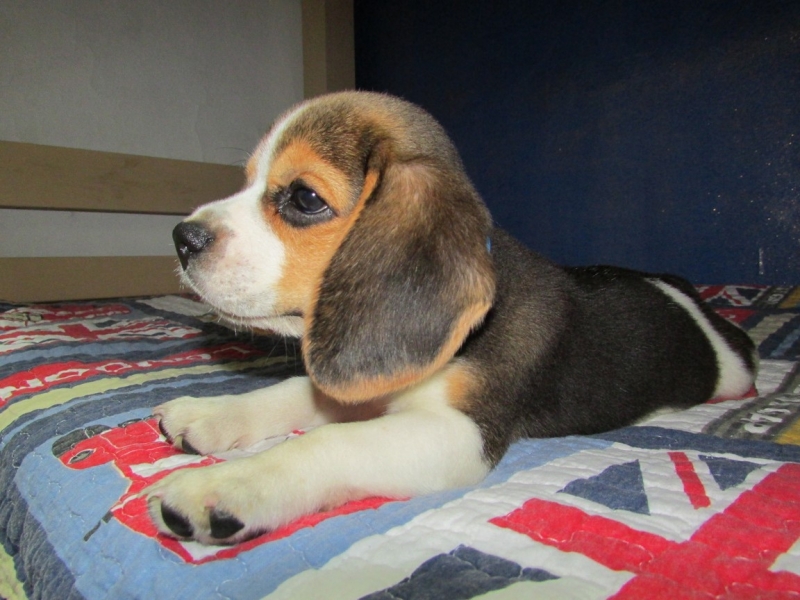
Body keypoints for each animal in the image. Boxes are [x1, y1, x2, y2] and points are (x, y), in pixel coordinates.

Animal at [148, 91, 756, 548]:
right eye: (249, 180)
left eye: (303, 198)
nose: (181, 238)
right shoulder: (362, 377)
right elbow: (295, 390)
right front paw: (211, 413)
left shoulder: (460, 435)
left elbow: (326, 442)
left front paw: (231, 484)